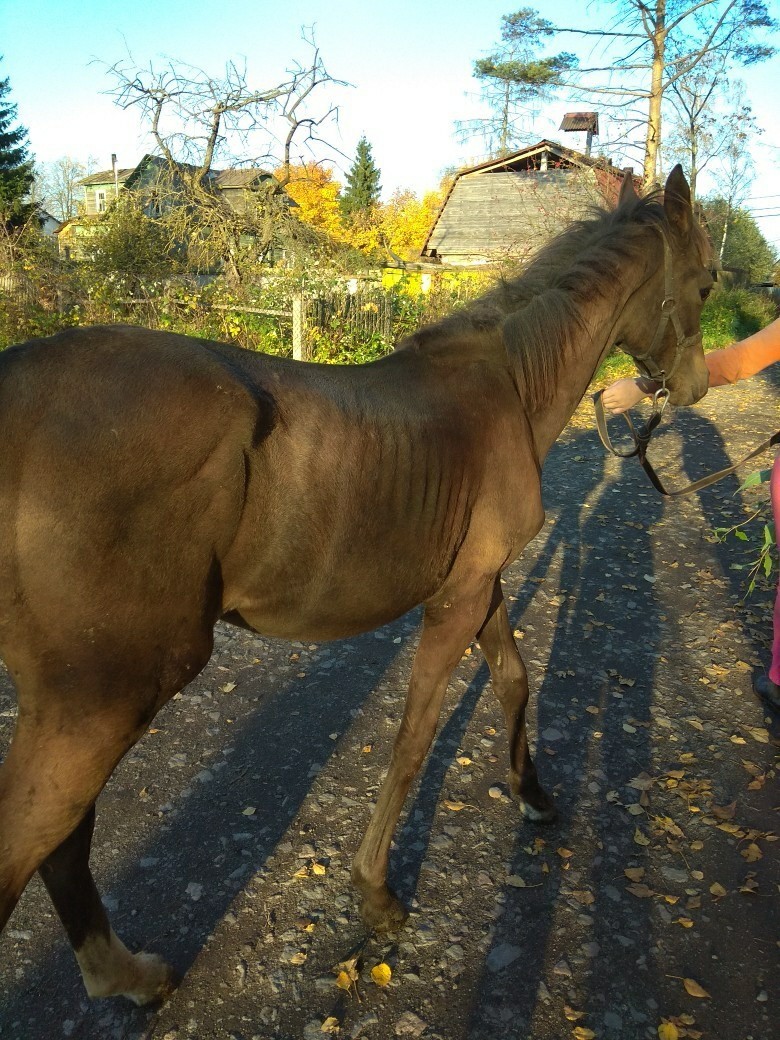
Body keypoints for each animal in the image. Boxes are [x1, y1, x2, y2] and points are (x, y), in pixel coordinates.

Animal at [0, 166, 711, 1002]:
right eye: (704, 282)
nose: (694, 386)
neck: (511, 386)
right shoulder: (457, 600)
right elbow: (415, 736)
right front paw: (375, 894)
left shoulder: (482, 583)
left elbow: (513, 680)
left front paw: (533, 795)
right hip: (103, 695)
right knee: (40, 836)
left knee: (62, 840)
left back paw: (125, 975)